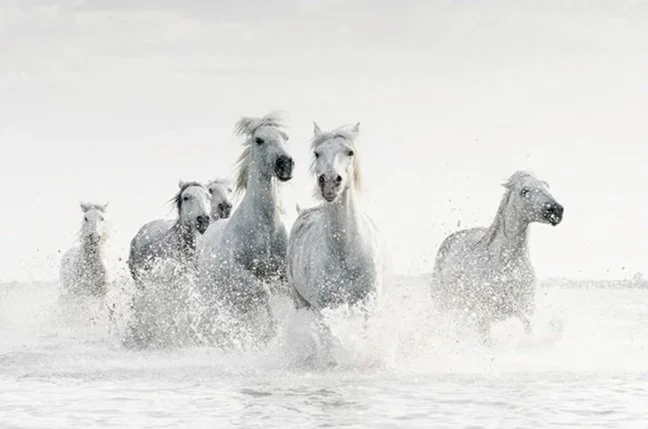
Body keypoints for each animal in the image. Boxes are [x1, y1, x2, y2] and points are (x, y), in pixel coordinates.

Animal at [199, 112, 294, 347]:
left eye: (285, 137)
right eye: (259, 140)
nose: (285, 164)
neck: (264, 228)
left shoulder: (282, 273)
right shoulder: (239, 275)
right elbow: (265, 293)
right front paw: (271, 332)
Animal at [286, 122, 385, 311]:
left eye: (350, 152)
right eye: (317, 153)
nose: (330, 182)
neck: (344, 252)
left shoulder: (368, 303)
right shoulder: (324, 307)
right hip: (300, 302)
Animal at [430, 171, 564, 342]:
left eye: (546, 187)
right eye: (524, 191)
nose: (556, 210)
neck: (507, 265)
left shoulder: (524, 308)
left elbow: (528, 327)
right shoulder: (483, 316)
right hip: (444, 304)